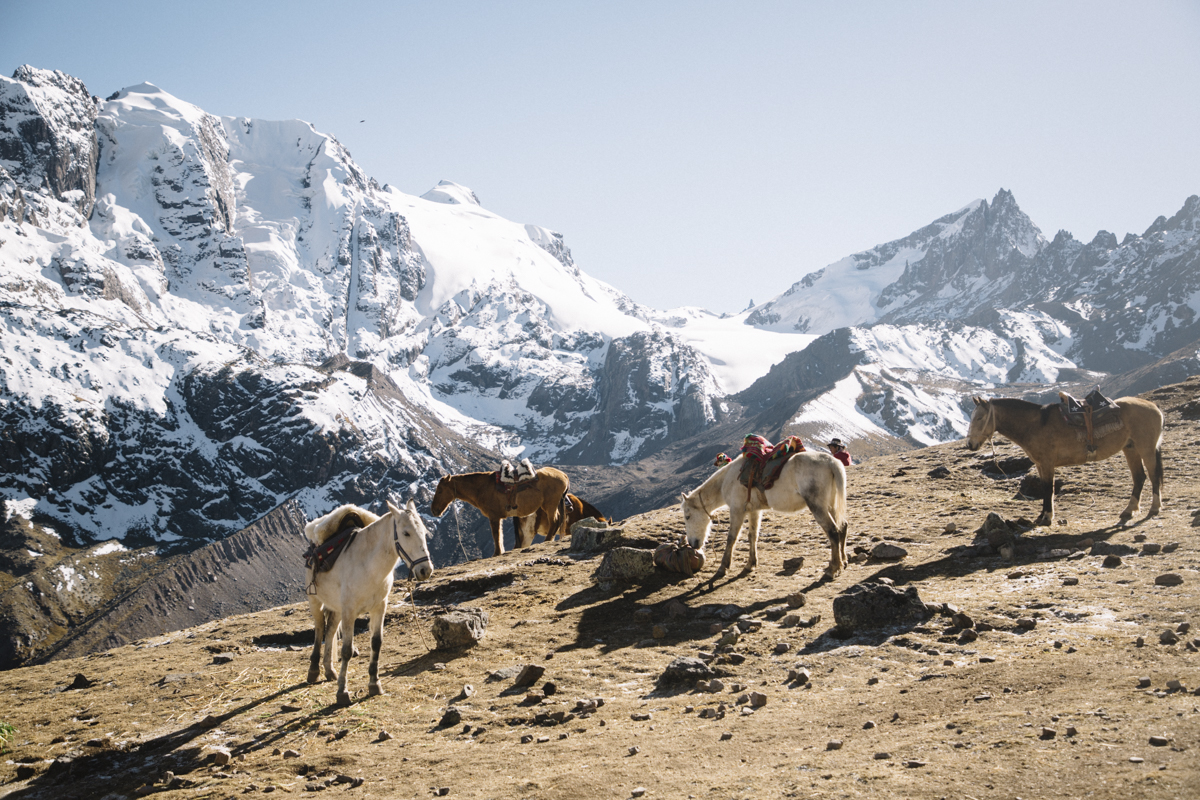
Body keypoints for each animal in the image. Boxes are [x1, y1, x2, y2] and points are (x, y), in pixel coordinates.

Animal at [303, 499, 434, 707]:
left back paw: (329, 671)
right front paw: (342, 691)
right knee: (319, 629)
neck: (368, 566)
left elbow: (376, 643)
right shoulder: (350, 611)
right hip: (314, 600)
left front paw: (374, 683)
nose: (425, 570)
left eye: (423, 532)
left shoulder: (379, 607)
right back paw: (314, 671)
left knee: (330, 631)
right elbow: (347, 651)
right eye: (406, 533)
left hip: (336, 608)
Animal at [430, 467, 570, 556]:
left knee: (554, 521)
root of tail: (563, 475)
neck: (482, 488)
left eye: (440, 490)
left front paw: (497, 552)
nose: (434, 510)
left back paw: (547, 540)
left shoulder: (494, 517)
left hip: (550, 505)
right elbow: (499, 534)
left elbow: (496, 535)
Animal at [680, 451, 849, 580]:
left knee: (833, 532)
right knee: (842, 527)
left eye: (687, 516)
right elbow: (752, 536)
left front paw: (723, 567)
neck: (727, 480)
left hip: (817, 506)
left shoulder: (737, 510)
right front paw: (750, 564)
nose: (693, 544)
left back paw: (832, 569)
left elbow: (731, 538)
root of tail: (831, 462)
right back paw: (843, 562)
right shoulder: (754, 511)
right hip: (831, 505)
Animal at [966, 395, 1164, 526]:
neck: (1036, 425)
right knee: (1139, 477)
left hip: (1146, 448)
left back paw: (1154, 508)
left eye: (980, 417)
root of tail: (1155, 407)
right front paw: (1041, 515)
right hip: (1130, 449)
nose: (970, 444)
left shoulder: (1047, 463)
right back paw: (1128, 511)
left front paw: (1047, 517)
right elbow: (1045, 488)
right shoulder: (1040, 464)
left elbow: (1048, 488)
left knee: (1153, 476)